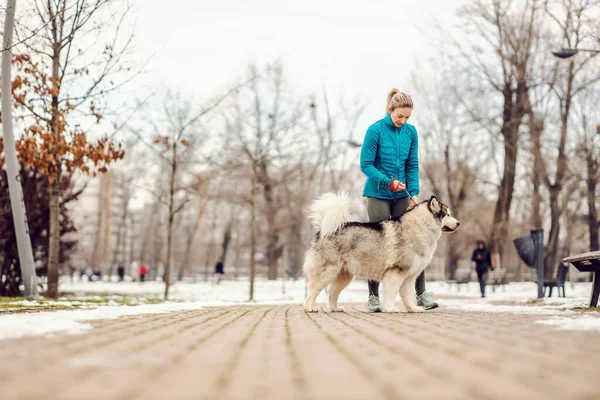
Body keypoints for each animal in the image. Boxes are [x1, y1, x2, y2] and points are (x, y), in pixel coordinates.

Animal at [302, 193, 462, 312]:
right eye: (447, 214)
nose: (459, 223)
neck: (422, 226)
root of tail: (324, 230)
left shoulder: (410, 276)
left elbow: (408, 295)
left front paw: (413, 308)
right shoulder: (395, 272)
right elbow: (391, 293)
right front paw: (390, 308)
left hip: (344, 275)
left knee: (332, 292)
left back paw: (335, 308)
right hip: (328, 272)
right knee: (313, 289)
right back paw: (309, 308)